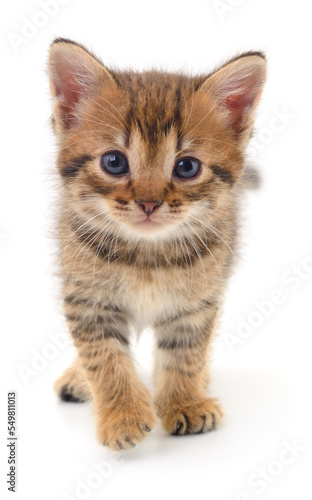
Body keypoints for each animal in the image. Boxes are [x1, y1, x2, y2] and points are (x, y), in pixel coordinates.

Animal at [48, 39, 266, 450]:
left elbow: (184, 353)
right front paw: (121, 414)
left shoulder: (197, 302)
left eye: (186, 167)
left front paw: (184, 401)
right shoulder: (87, 299)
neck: (146, 254)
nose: (148, 203)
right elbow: (104, 358)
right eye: (114, 162)